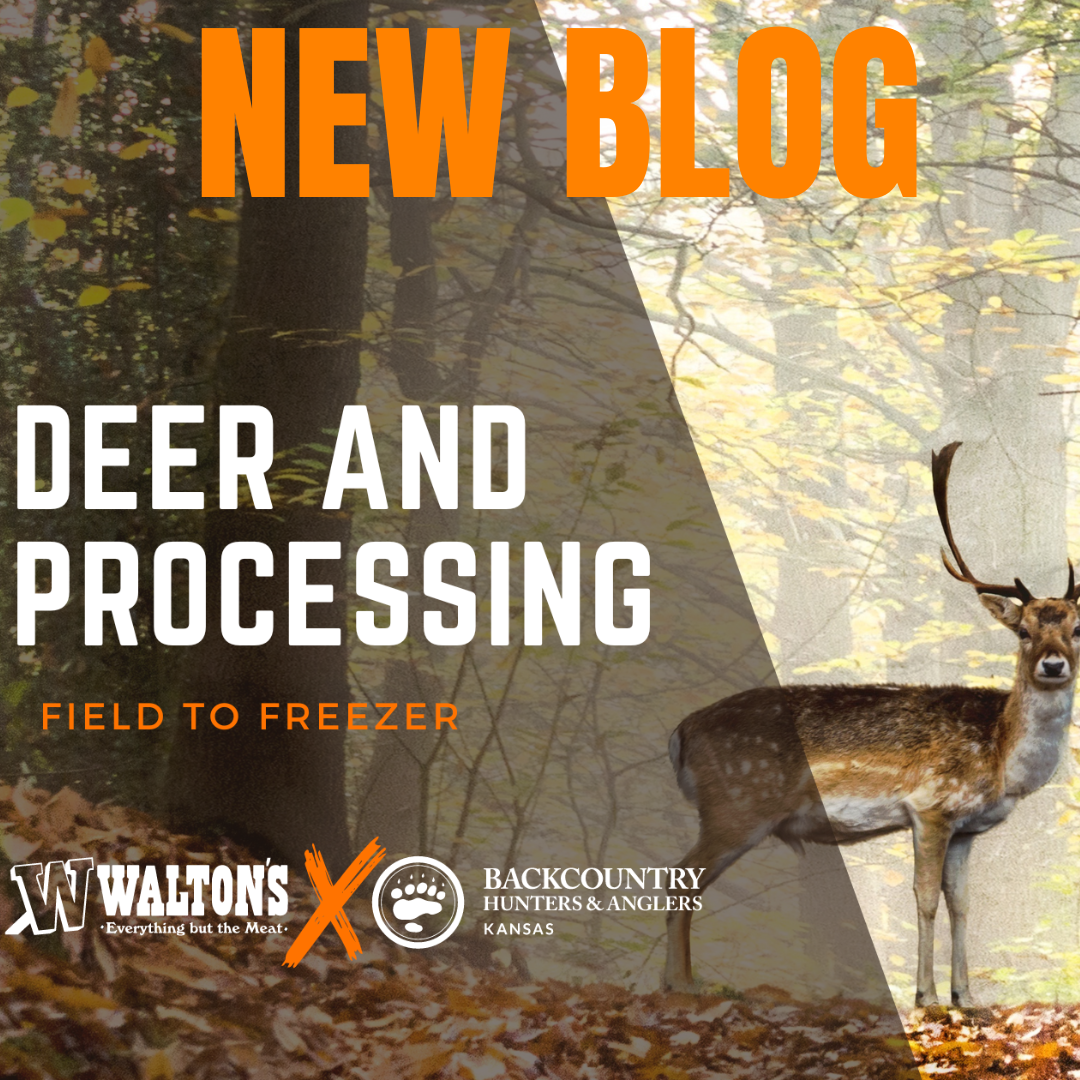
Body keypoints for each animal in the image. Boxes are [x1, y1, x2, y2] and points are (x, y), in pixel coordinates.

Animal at [664, 442, 1080, 1008]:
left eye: (1077, 629)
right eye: (1023, 631)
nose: (1053, 665)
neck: (1000, 759)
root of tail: (679, 733)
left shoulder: (966, 828)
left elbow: (962, 903)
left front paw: (966, 998)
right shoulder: (929, 805)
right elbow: (924, 899)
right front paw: (926, 997)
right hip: (736, 804)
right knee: (678, 879)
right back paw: (680, 984)